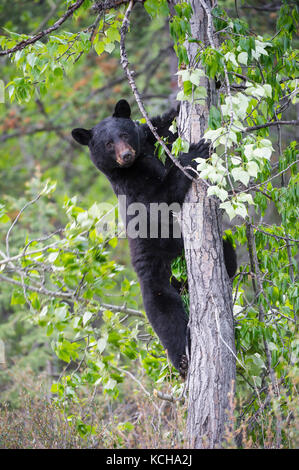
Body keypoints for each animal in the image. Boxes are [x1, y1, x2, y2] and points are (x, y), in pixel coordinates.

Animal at [71, 100, 238, 378]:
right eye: (108, 144)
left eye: (124, 134)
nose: (126, 155)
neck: (138, 163)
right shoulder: (133, 187)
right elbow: (162, 195)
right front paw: (194, 152)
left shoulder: (152, 140)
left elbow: (165, 125)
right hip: (155, 277)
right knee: (165, 315)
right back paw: (182, 359)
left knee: (229, 256)